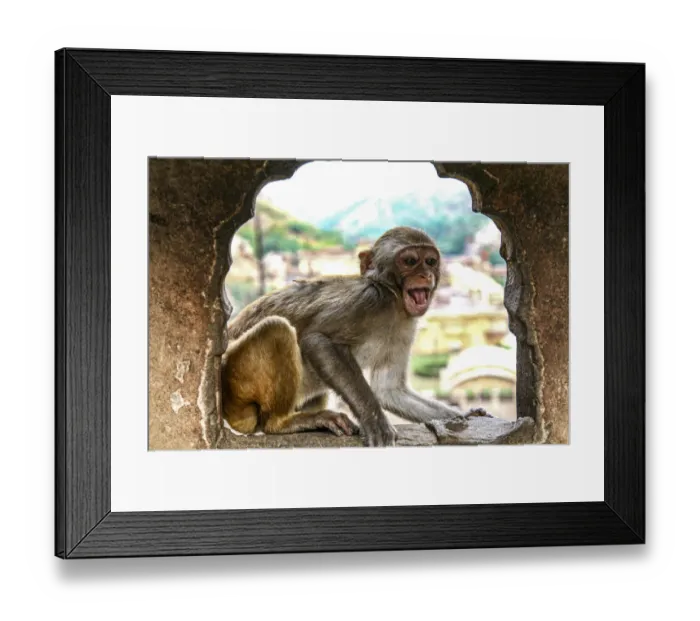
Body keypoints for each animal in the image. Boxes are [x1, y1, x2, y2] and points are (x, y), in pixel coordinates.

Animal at [222, 226, 482, 447]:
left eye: (430, 261)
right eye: (410, 261)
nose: (426, 275)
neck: (393, 300)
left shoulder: (406, 327)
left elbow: (389, 390)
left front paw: (464, 415)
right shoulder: (367, 301)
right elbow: (317, 341)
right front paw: (374, 420)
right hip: (236, 383)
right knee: (277, 328)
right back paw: (282, 422)